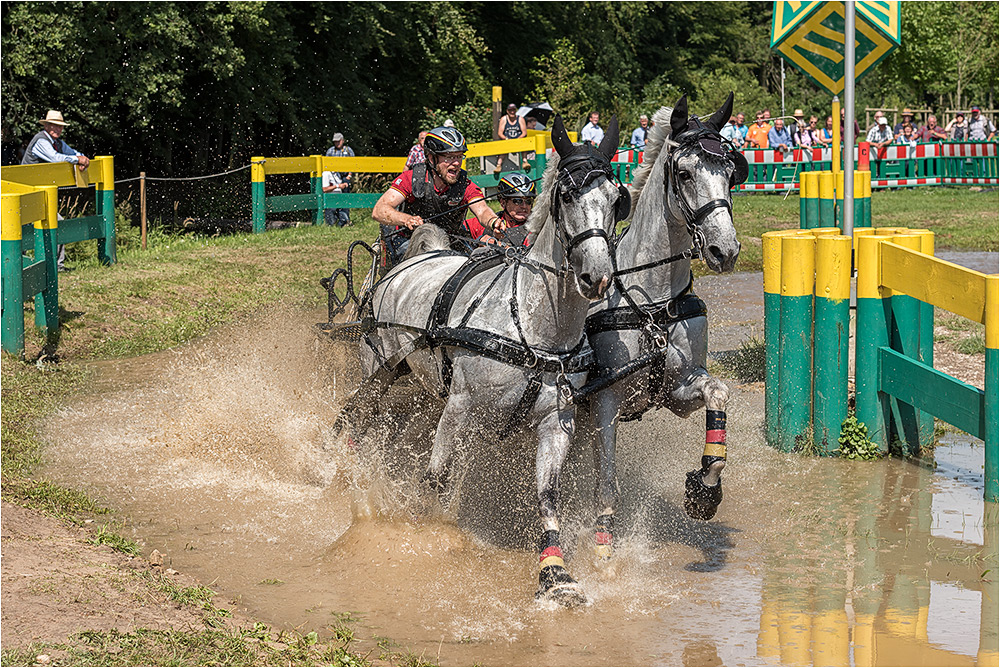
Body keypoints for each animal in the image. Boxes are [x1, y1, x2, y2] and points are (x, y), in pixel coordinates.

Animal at [340, 116, 628, 604]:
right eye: (567, 196)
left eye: (615, 198)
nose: (597, 276)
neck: (532, 324)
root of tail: (411, 261)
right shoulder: (460, 407)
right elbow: (436, 477)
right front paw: (421, 531)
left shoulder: (557, 421)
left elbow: (546, 493)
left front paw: (555, 573)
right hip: (379, 367)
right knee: (357, 414)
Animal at [584, 91, 744, 556]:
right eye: (685, 173)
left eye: (731, 172)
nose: (725, 250)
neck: (651, 303)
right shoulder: (605, 400)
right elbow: (606, 484)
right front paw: (603, 549)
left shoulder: (677, 389)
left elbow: (718, 393)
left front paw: (704, 487)